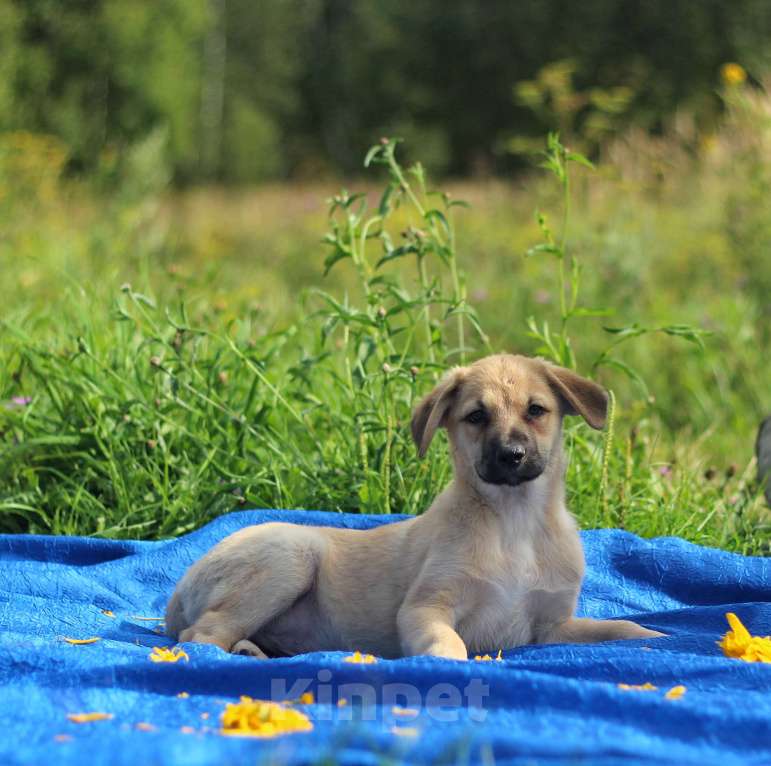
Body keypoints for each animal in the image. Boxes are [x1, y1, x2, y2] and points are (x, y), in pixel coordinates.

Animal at [166, 354, 660, 660]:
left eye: (536, 410)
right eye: (476, 416)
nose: (512, 456)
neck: (514, 523)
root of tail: (183, 582)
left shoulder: (553, 626)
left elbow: (616, 627)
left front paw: (655, 637)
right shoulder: (427, 608)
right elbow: (449, 642)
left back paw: (253, 650)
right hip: (288, 558)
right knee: (201, 635)